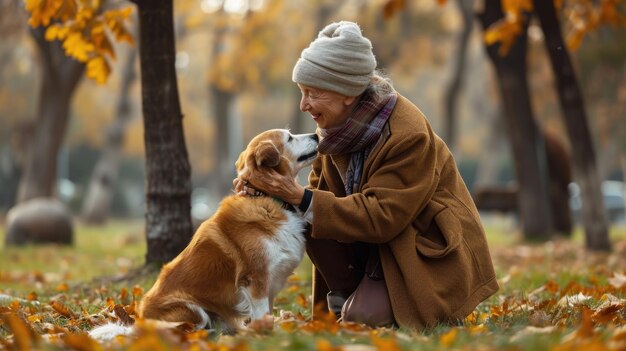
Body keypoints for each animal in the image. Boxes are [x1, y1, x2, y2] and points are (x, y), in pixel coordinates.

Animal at [89, 130, 316, 340]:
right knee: (182, 330)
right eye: (289, 138)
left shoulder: (269, 283)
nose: (316, 134)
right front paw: (266, 336)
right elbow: (262, 315)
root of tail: (140, 324)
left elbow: (267, 312)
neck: (266, 197)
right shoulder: (256, 280)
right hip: (192, 309)